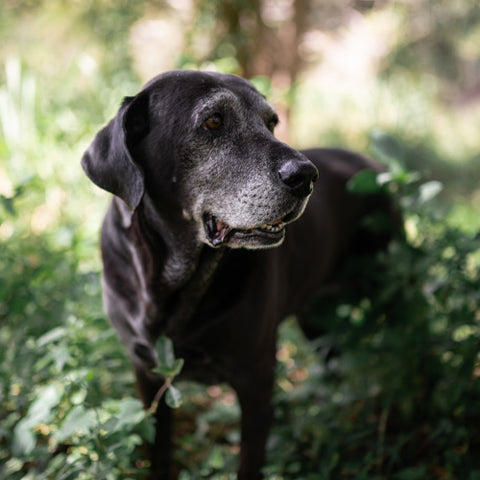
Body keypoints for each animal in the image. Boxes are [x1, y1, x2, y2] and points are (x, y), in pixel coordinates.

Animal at [81, 71, 398, 480]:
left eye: (271, 123)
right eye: (213, 122)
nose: (306, 176)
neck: (174, 280)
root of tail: (373, 164)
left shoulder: (256, 379)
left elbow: (250, 461)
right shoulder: (147, 375)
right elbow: (158, 450)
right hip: (315, 317)